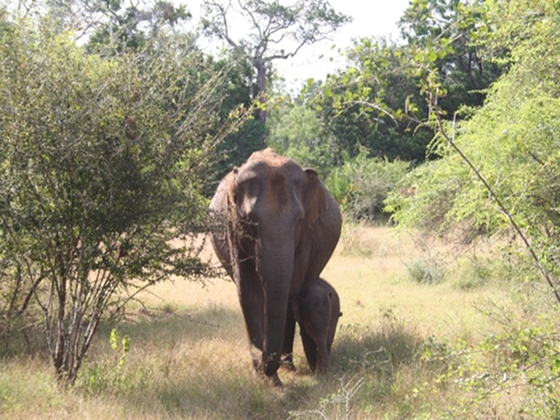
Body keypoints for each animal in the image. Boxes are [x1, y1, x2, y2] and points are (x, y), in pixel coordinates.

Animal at [210, 148, 342, 388]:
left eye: (299, 220)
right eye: (249, 221)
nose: (268, 368)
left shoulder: (305, 237)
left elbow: (291, 290)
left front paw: (284, 371)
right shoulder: (232, 229)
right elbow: (247, 292)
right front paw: (263, 379)